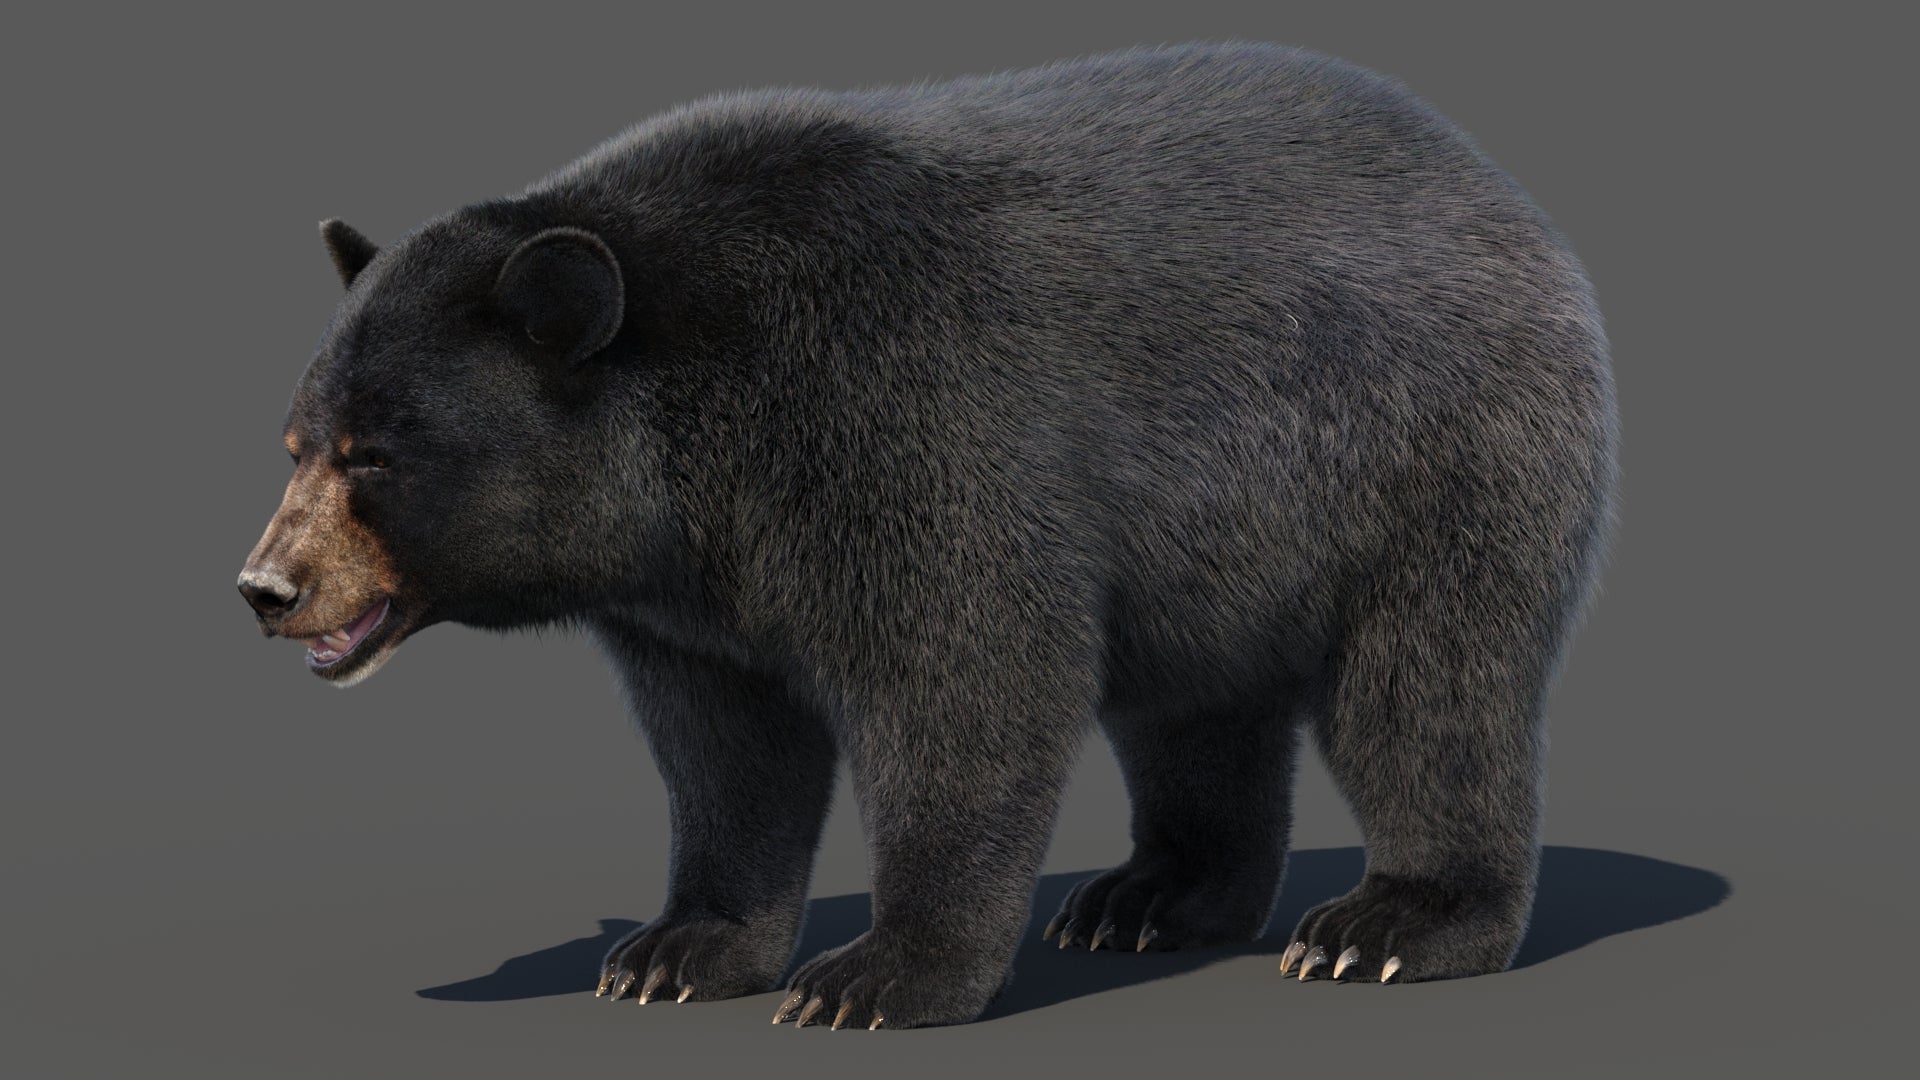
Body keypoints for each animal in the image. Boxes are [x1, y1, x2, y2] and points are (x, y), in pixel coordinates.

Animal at [238, 42, 1617, 1029]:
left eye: (377, 453)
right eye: (298, 441)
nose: (265, 586)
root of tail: (1501, 191)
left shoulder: (904, 420)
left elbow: (968, 680)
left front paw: (876, 976)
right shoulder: (688, 596)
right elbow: (727, 748)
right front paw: (677, 948)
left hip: (1433, 444)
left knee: (1430, 684)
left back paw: (1389, 925)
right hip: (1223, 544)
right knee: (1195, 708)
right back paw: (1152, 895)